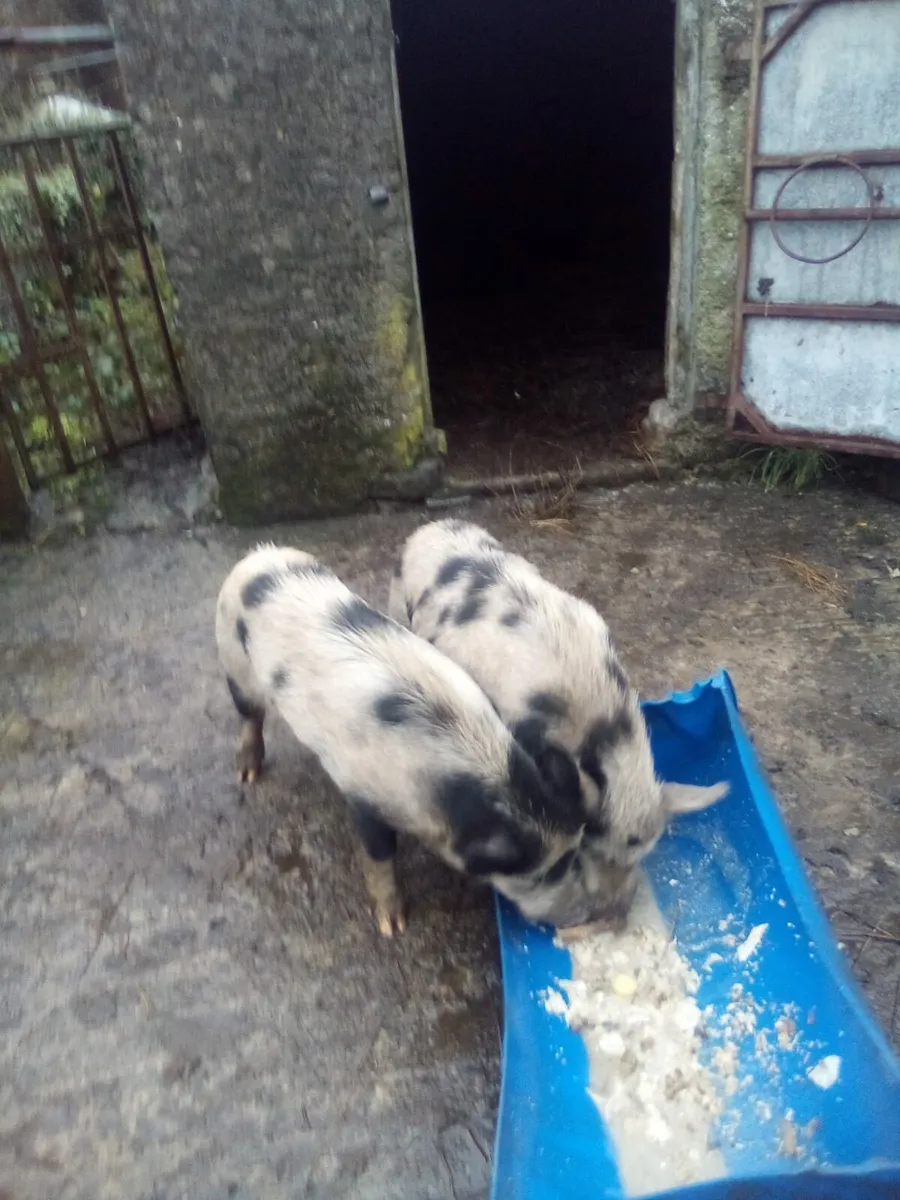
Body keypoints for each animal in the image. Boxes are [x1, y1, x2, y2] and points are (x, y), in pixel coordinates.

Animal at [216, 543, 627, 936]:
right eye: (545, 872)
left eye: (575, 852)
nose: (584, 914)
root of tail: (257, 557)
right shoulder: (363, 794)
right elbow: (380, 855)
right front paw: (392, 925)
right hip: (233, 657)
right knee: (250, 714)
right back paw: (247, 775)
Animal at [389, 519, 728, 922]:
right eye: (590, 849)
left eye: (638, 855)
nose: (618, 910)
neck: (597, 725)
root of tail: (429, 527)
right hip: (397, 602)